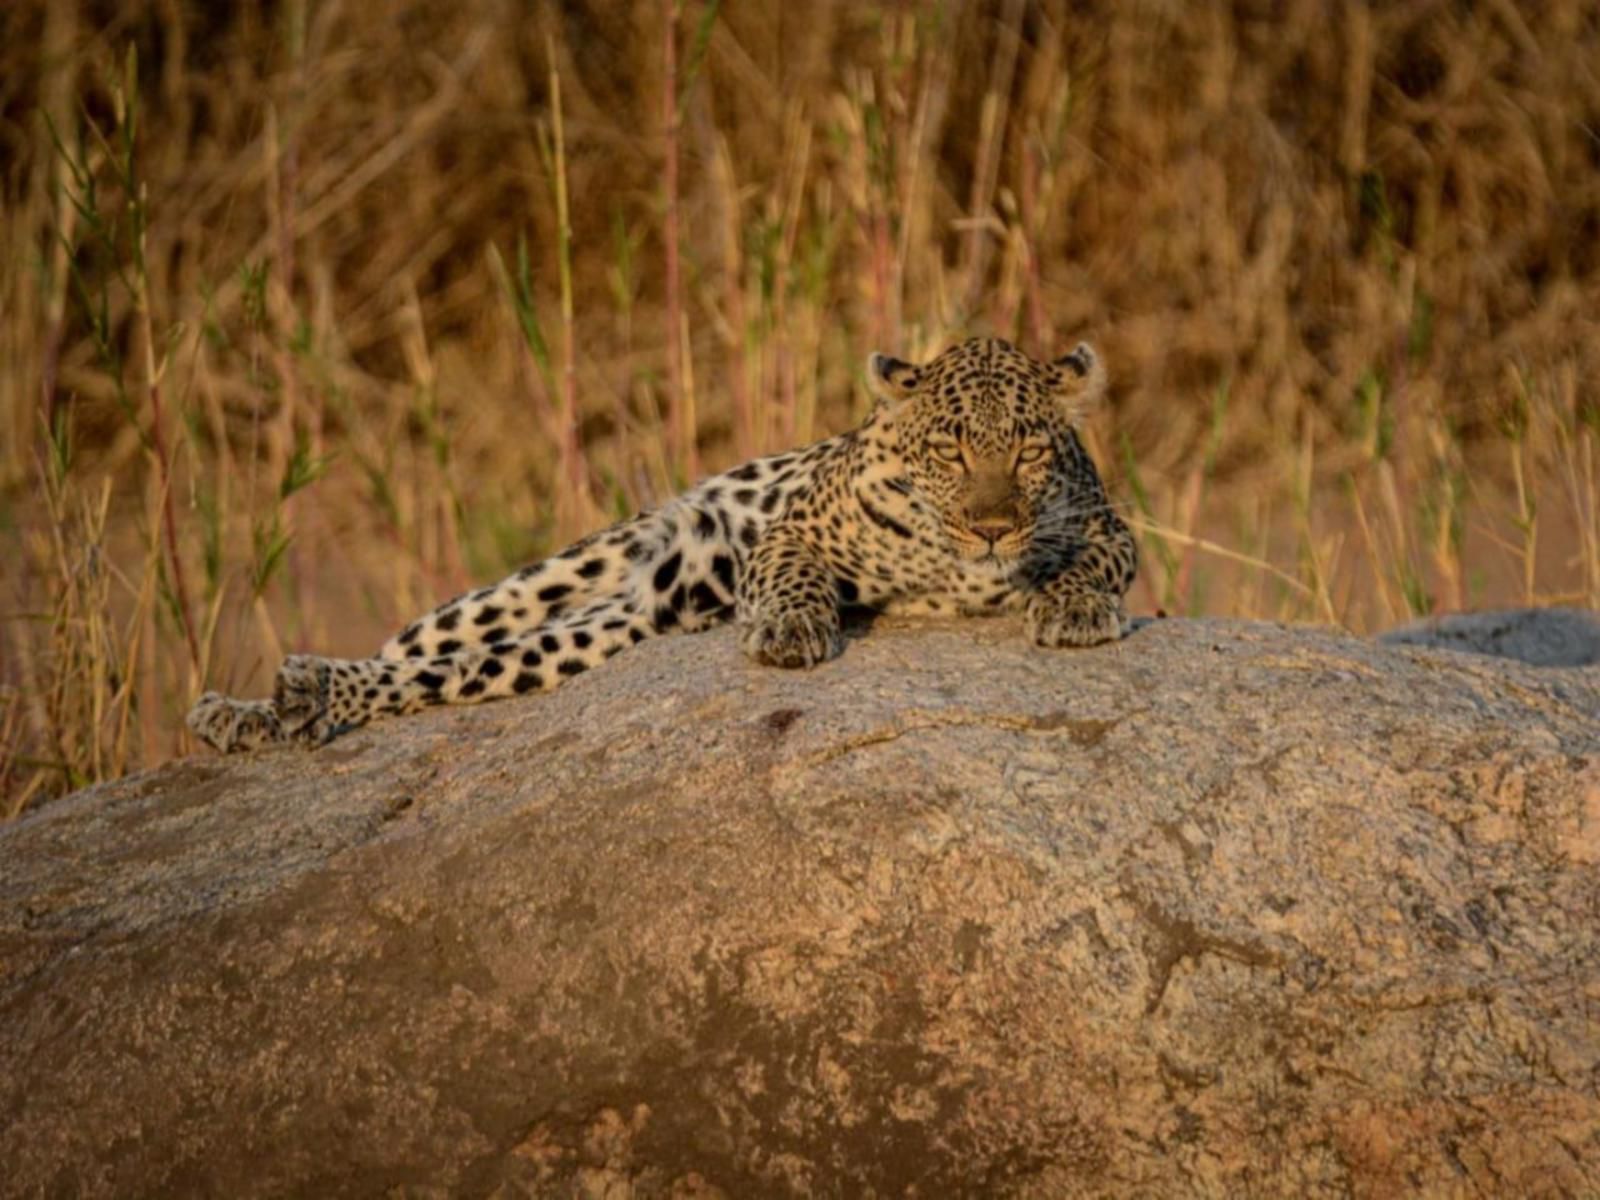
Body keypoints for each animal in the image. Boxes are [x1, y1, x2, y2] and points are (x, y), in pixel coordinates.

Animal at [187, 334, 1139, 755]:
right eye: (950, 449)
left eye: (1026, 450)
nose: (992, 527)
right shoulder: (798, 525)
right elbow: (792, 568)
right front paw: (789, 631)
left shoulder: (1109, 523)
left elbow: (1091, 559)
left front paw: (1074, 610)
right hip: (549, 577)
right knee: (419, 650)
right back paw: (256, 709)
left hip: (628, 620)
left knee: (462, 671)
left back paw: (292, 706)